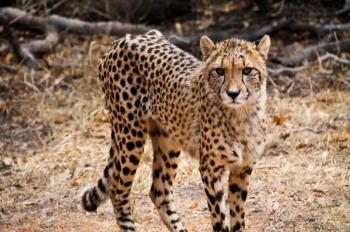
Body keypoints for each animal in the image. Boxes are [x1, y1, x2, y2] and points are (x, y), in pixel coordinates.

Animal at [82, 29, 270, 232]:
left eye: (247, 70)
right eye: (220, 71)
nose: (233, 94)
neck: (241, 114)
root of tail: (124, 39)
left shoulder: (242, 168)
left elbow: (238, 218)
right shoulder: (210, 169)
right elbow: (219, 219)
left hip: (167, 139)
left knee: (159, 191)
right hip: (130, 133)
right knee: (118, 190)